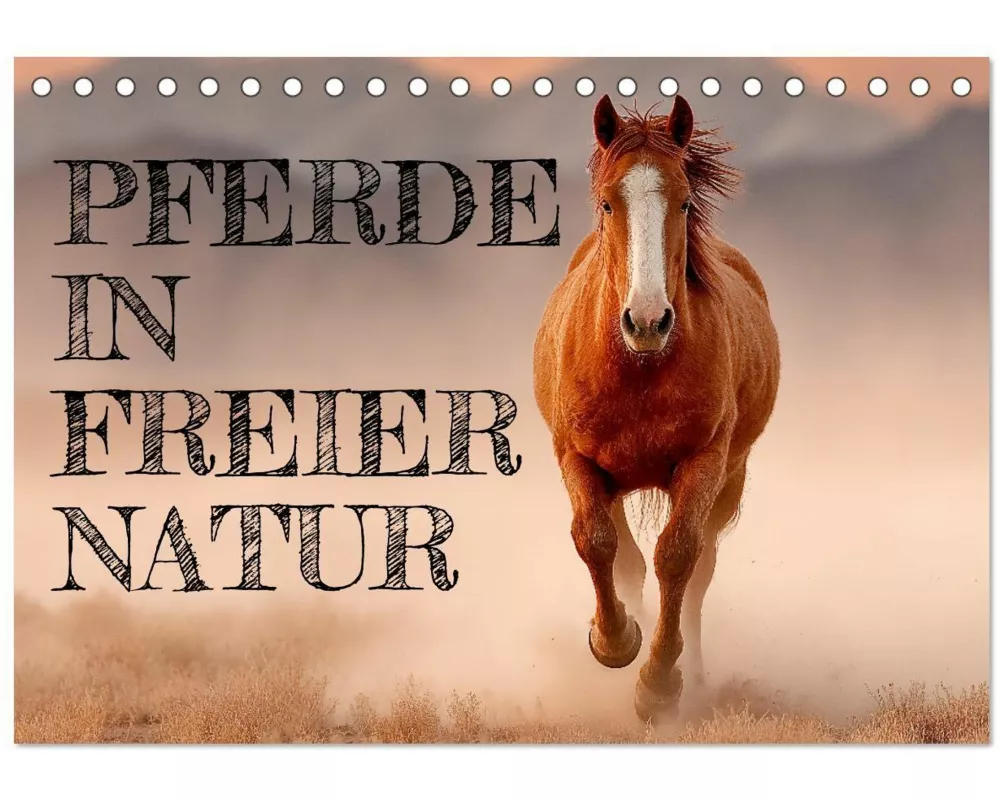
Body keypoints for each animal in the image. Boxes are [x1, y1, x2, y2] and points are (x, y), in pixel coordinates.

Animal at [532, 94, 780, 722]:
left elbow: (677, 558)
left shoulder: (705, 462)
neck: (639, 368)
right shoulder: (577, 458)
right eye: (607, 202)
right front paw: (614, 641)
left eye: (684, 200)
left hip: (730, 479)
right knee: (625, 559)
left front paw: (659, 684)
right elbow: (598, 543)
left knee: (698, 572)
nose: (647, 321)